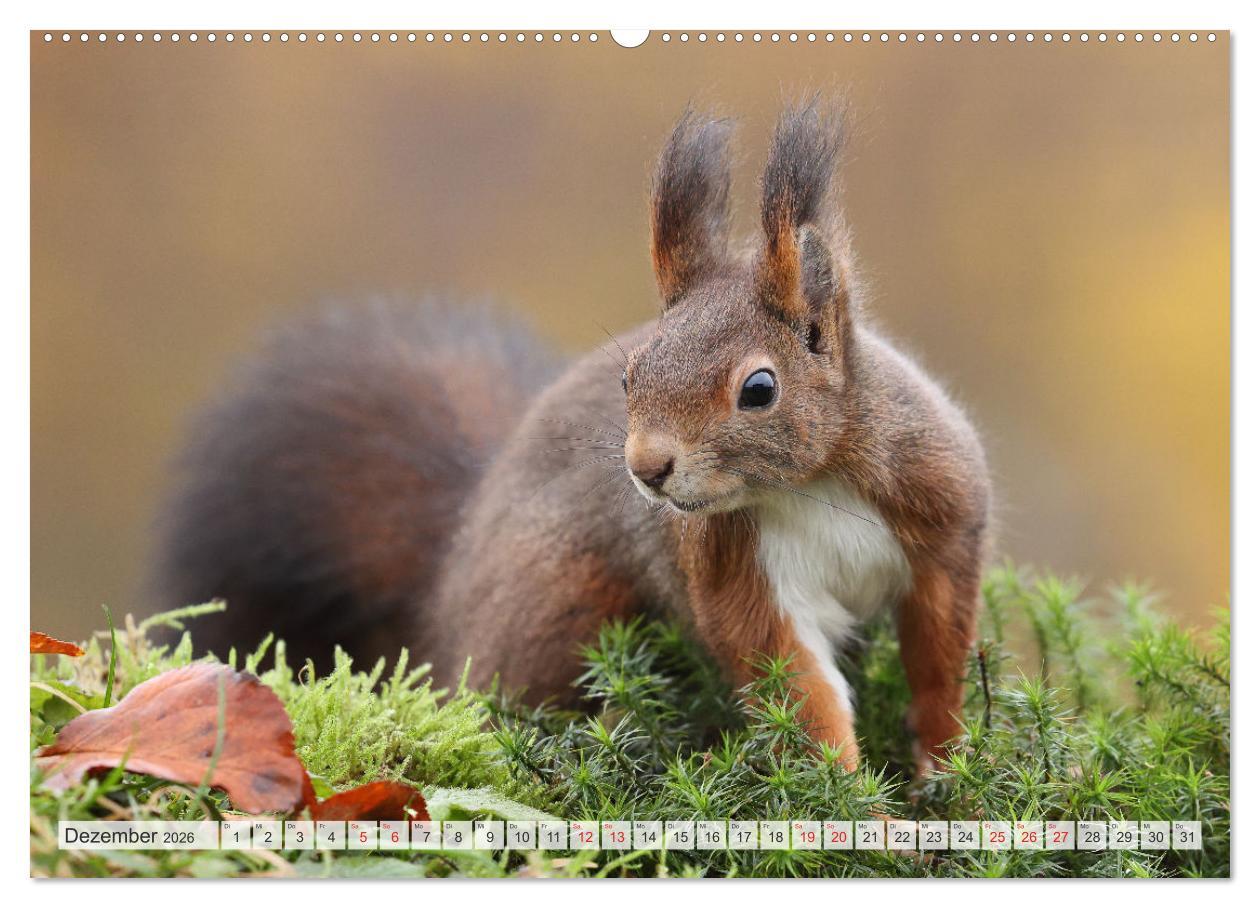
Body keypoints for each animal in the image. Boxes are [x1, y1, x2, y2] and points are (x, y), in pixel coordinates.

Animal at [154, 99, 991, 773]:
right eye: (631, 377)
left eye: (759, 390)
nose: (647, 468)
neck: (810, 485)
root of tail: (453, 572)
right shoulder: (733, 573)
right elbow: (796, 686)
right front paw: (857, 809)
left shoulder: (941, 517)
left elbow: (940, 657)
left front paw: (945, 766)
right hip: (560, 609)